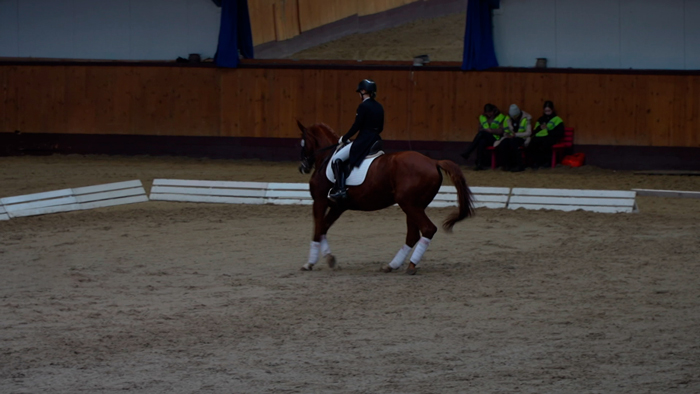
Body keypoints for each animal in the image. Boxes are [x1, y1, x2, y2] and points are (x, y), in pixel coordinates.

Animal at [296, 121, 476, 276]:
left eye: (303, 143)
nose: (302, 168)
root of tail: (433, 161)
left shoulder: (319, 201)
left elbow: (317, 229)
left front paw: (309, 263)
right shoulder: (338, 206)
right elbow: (323, 227)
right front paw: (330, 258)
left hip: (409, 204)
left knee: (427, 229)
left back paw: (410, 266)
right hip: (414, 205)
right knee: (413, 235)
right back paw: (392, 265)